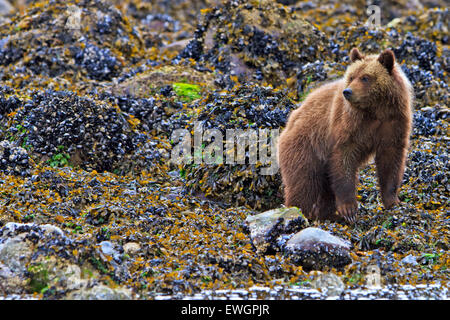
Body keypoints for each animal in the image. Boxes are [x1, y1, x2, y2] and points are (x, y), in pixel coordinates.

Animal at [280, 48, 414, 222]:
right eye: (351, 77)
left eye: (365, 77)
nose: (347, 91)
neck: (375, 110)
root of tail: (289, 123)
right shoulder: (348, 125)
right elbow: (344, 159)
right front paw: (349, 209)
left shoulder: (393, 123)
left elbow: (391, 161)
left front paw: (393, 201)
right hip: (305, 147)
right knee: (304, 182)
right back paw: (299, 211)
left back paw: (327, 214)